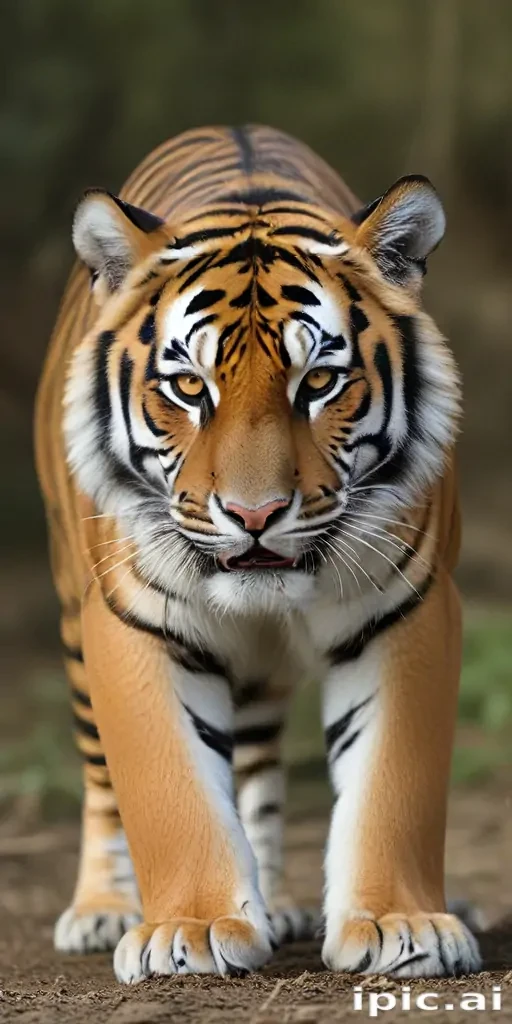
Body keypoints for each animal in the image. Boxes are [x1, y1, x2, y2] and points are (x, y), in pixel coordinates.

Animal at [35, 124, 481, 981]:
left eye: (321, 382)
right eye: (188, 388)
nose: (254, 515)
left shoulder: (408, 609)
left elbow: (392, 781)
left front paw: (399, 923)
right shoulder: (133, 623)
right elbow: (168, 784)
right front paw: (193, 928)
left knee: (257, 770)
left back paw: (275, 904)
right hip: (75, 612)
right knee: (100, 776)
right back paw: (101, 910)